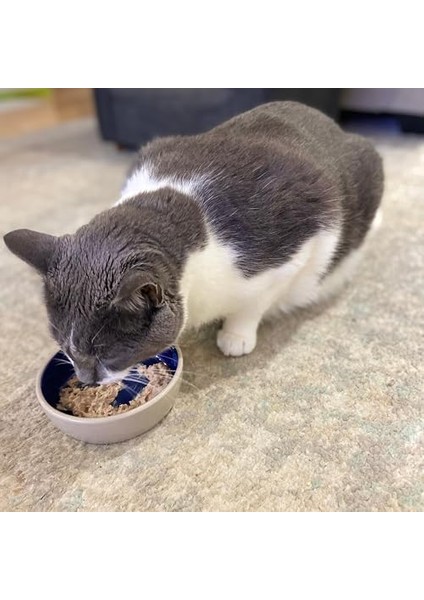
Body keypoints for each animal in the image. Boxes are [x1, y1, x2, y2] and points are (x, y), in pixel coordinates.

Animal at [4, 101, 383, 384]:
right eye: (64, 348)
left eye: (109, 354)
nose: (85, 380)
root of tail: (332, 124)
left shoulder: (295, 247)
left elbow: (253, 304)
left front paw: (235, 336)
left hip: (367, 164)